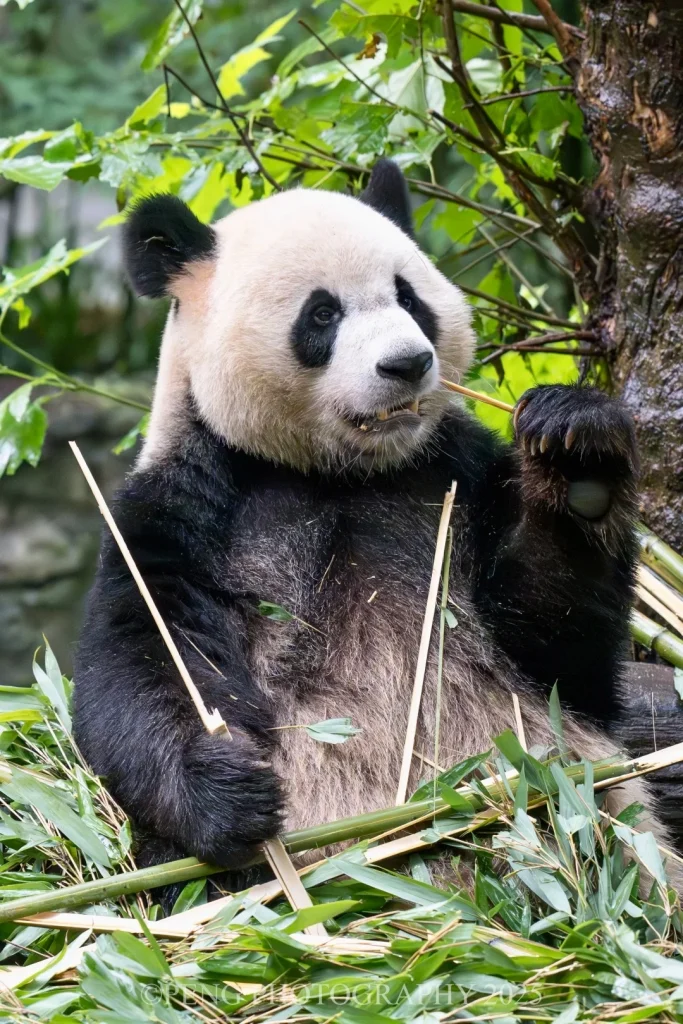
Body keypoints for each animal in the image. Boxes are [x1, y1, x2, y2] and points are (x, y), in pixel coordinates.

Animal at [73, 160, 668, 880]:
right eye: (322, 313)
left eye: (409, 299)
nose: (407, 363)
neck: (336, 473)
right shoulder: (183, 511)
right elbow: (139, 667)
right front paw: (226, 788)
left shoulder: (456, 475)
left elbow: (557, 645)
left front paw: (578, 451)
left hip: (591, 812)